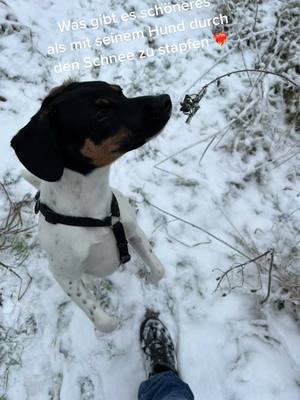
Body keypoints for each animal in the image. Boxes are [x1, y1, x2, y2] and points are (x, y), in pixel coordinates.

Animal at [10, 79, 172, 332]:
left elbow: (159, 269)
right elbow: (105, 322)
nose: (165, 100)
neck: (93, 212)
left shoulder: (134, 232)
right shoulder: (63, 275)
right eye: (100, 113)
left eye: (120, 92)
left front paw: (148, 278)